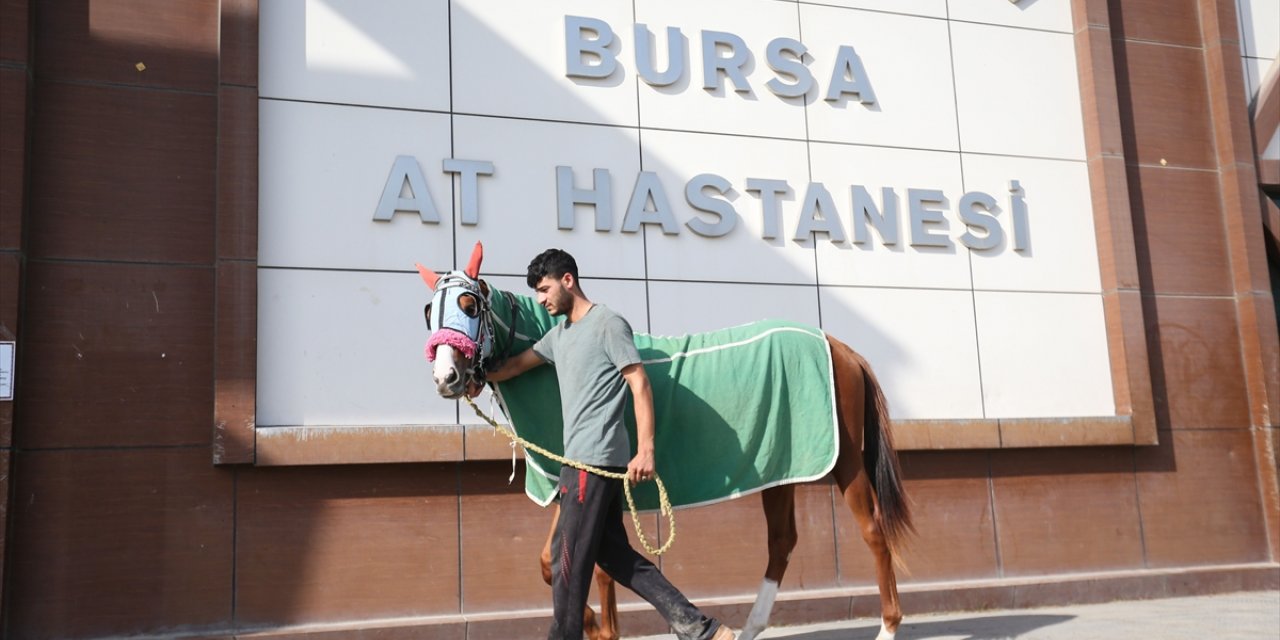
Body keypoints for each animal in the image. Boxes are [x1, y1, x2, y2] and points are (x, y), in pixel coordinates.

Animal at [417, 243, 911, 640]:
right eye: (428, 312)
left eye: (469, 304)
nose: (446, 378)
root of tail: (840, 346)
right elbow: (556, 560)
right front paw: (597, 625)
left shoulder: (586, 478)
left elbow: (584, 561)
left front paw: (601, 628)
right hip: (783, 466)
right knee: (782, 541)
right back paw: (749, 628)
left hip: (845, 461)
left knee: (872, 531)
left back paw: (887, 627)